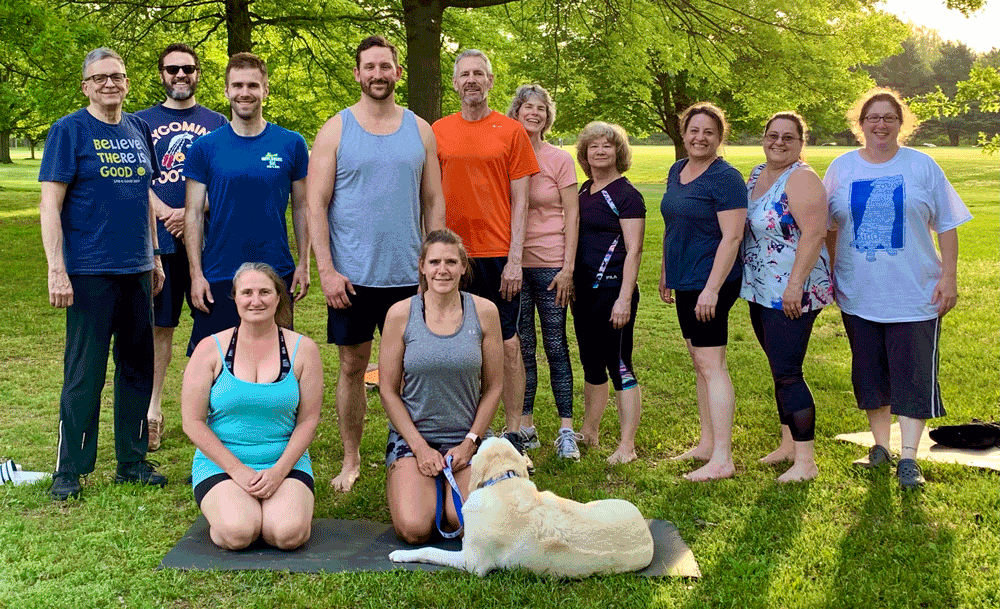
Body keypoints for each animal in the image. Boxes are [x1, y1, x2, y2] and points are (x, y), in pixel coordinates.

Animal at [386, 436, 652, 576]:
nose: (479, 436)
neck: (503, 479)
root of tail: (648, 535)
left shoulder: (472, 562)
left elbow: (430, 551)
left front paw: (400, 554)